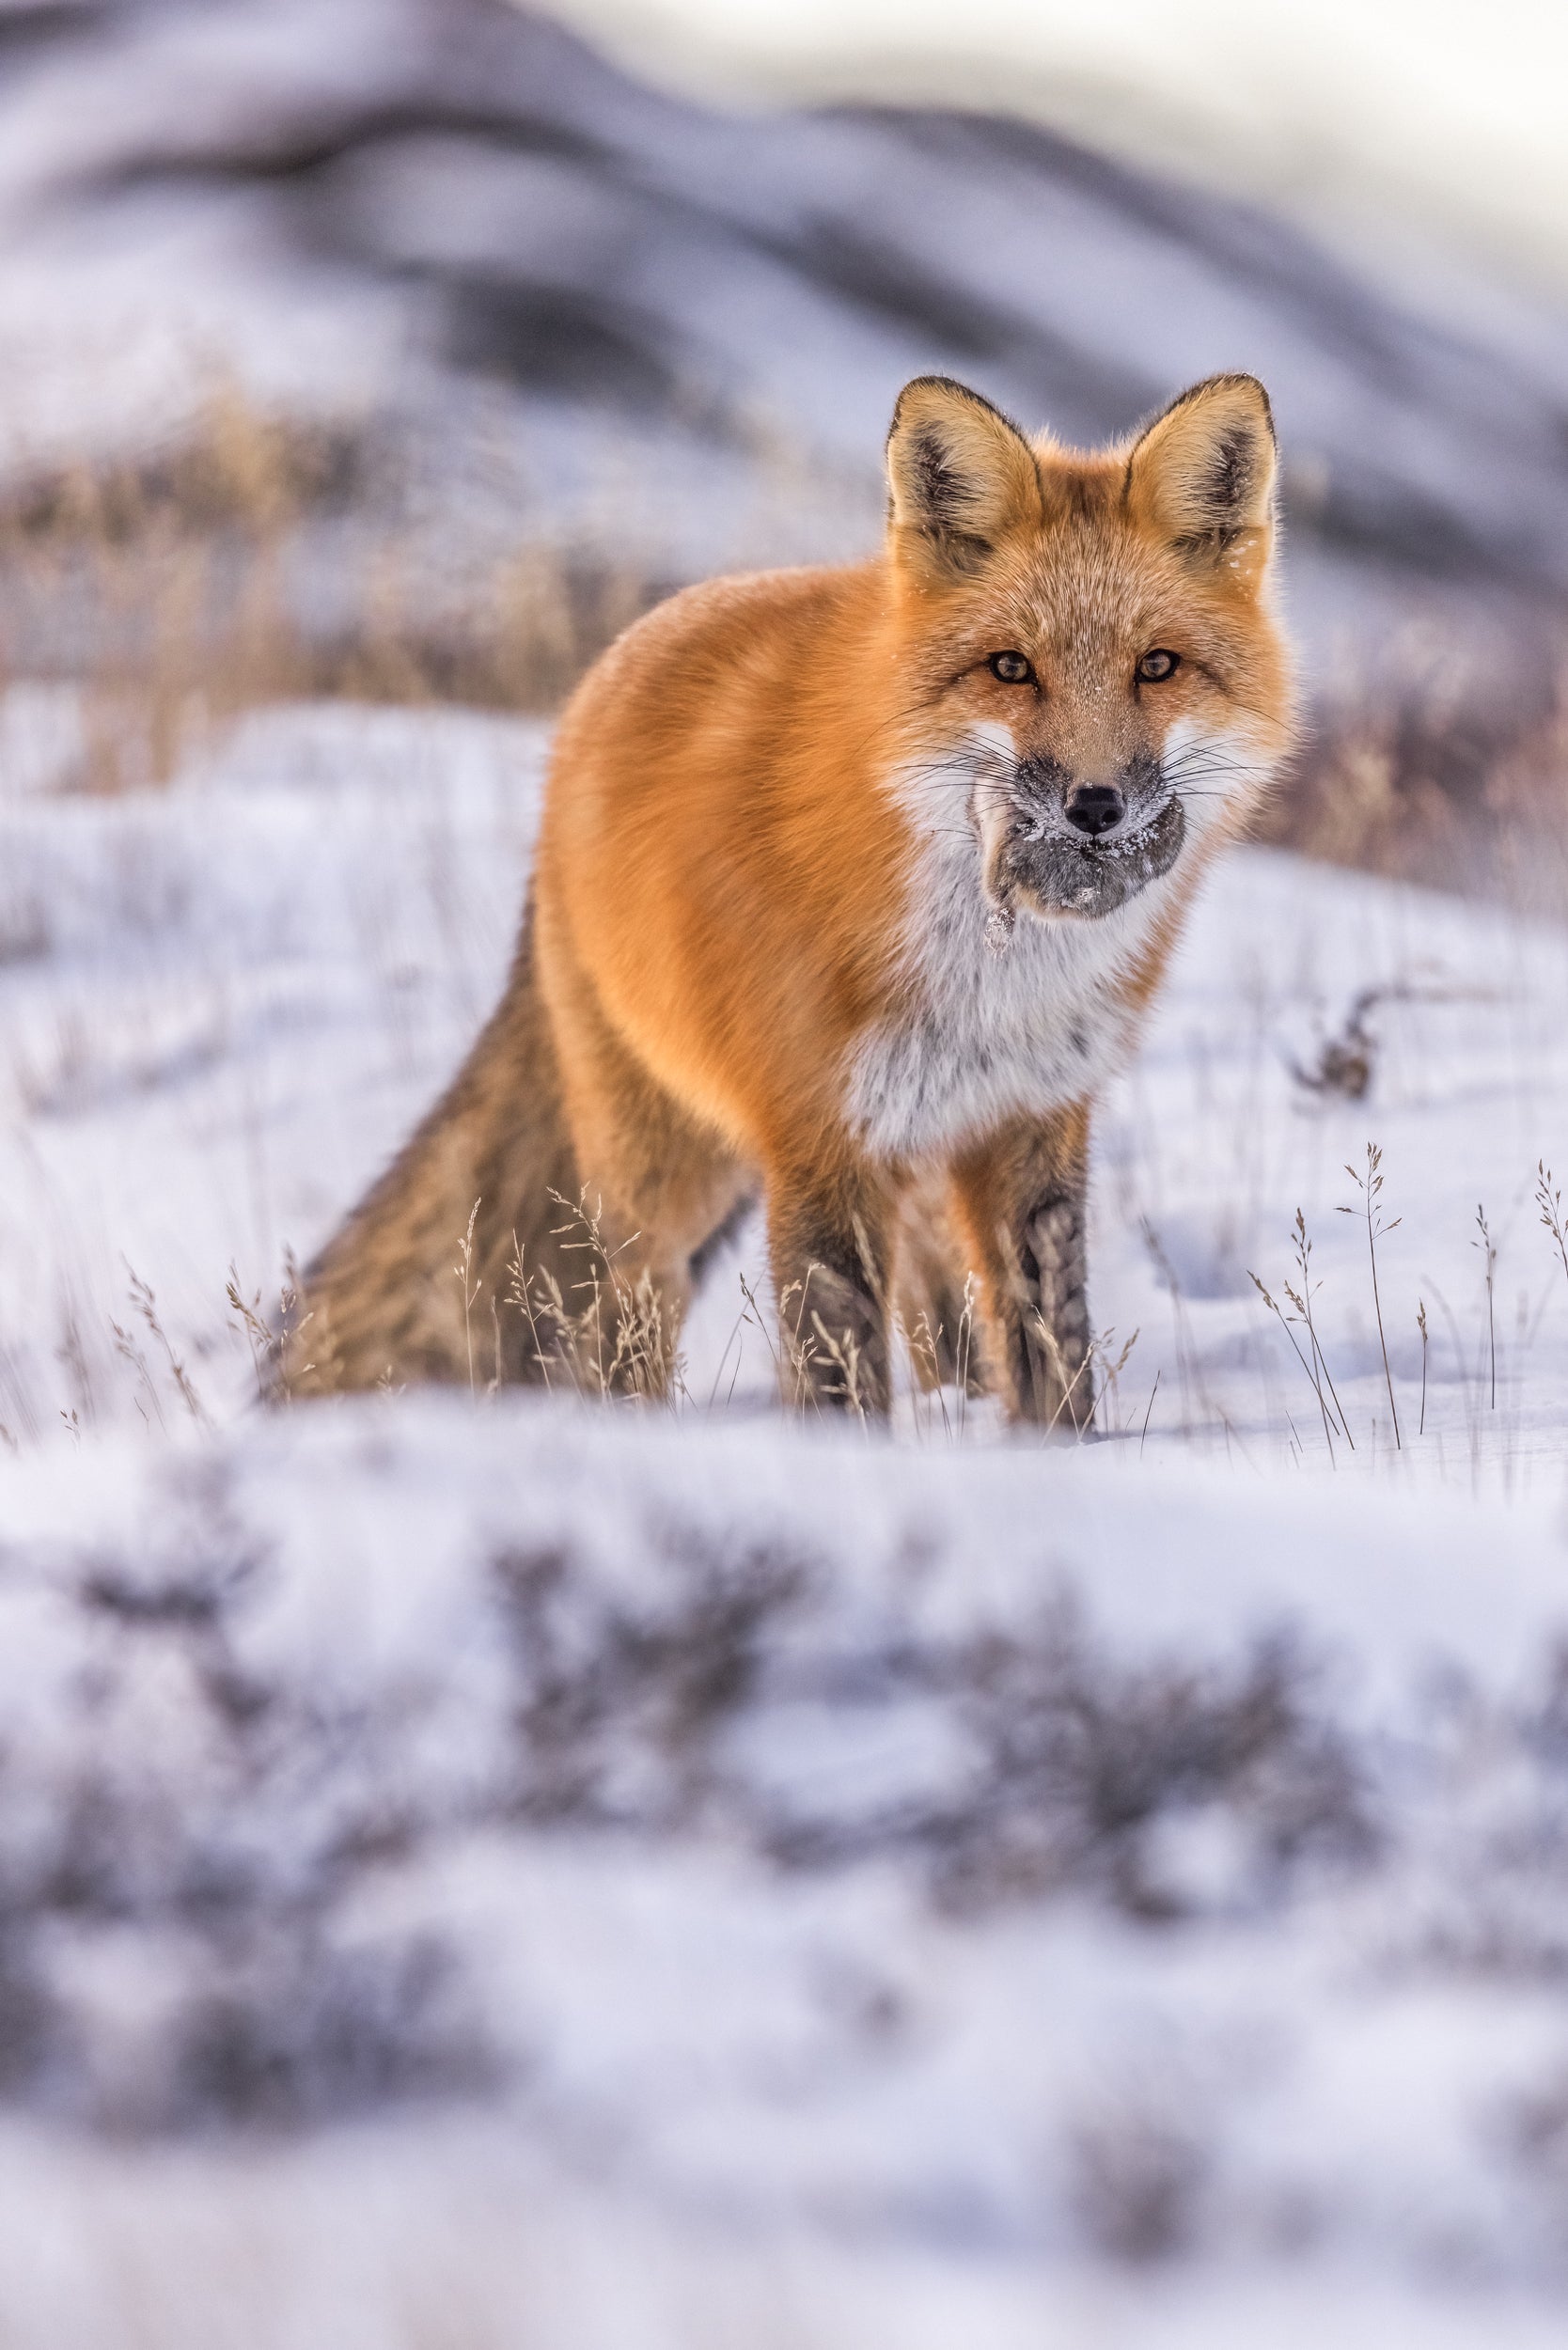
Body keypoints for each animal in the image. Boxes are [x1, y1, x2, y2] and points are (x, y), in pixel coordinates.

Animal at [277, 370, 1295, 1422]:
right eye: (1012, 667)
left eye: (1157, 666)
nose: (1095, 808)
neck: (991, 984)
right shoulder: (814, 1137)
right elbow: (838, 1373)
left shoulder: (1032, 1125)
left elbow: (1055, 1359)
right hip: (662, 1187)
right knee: (621, 1331)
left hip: (917, 1164)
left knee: (941, 1324)